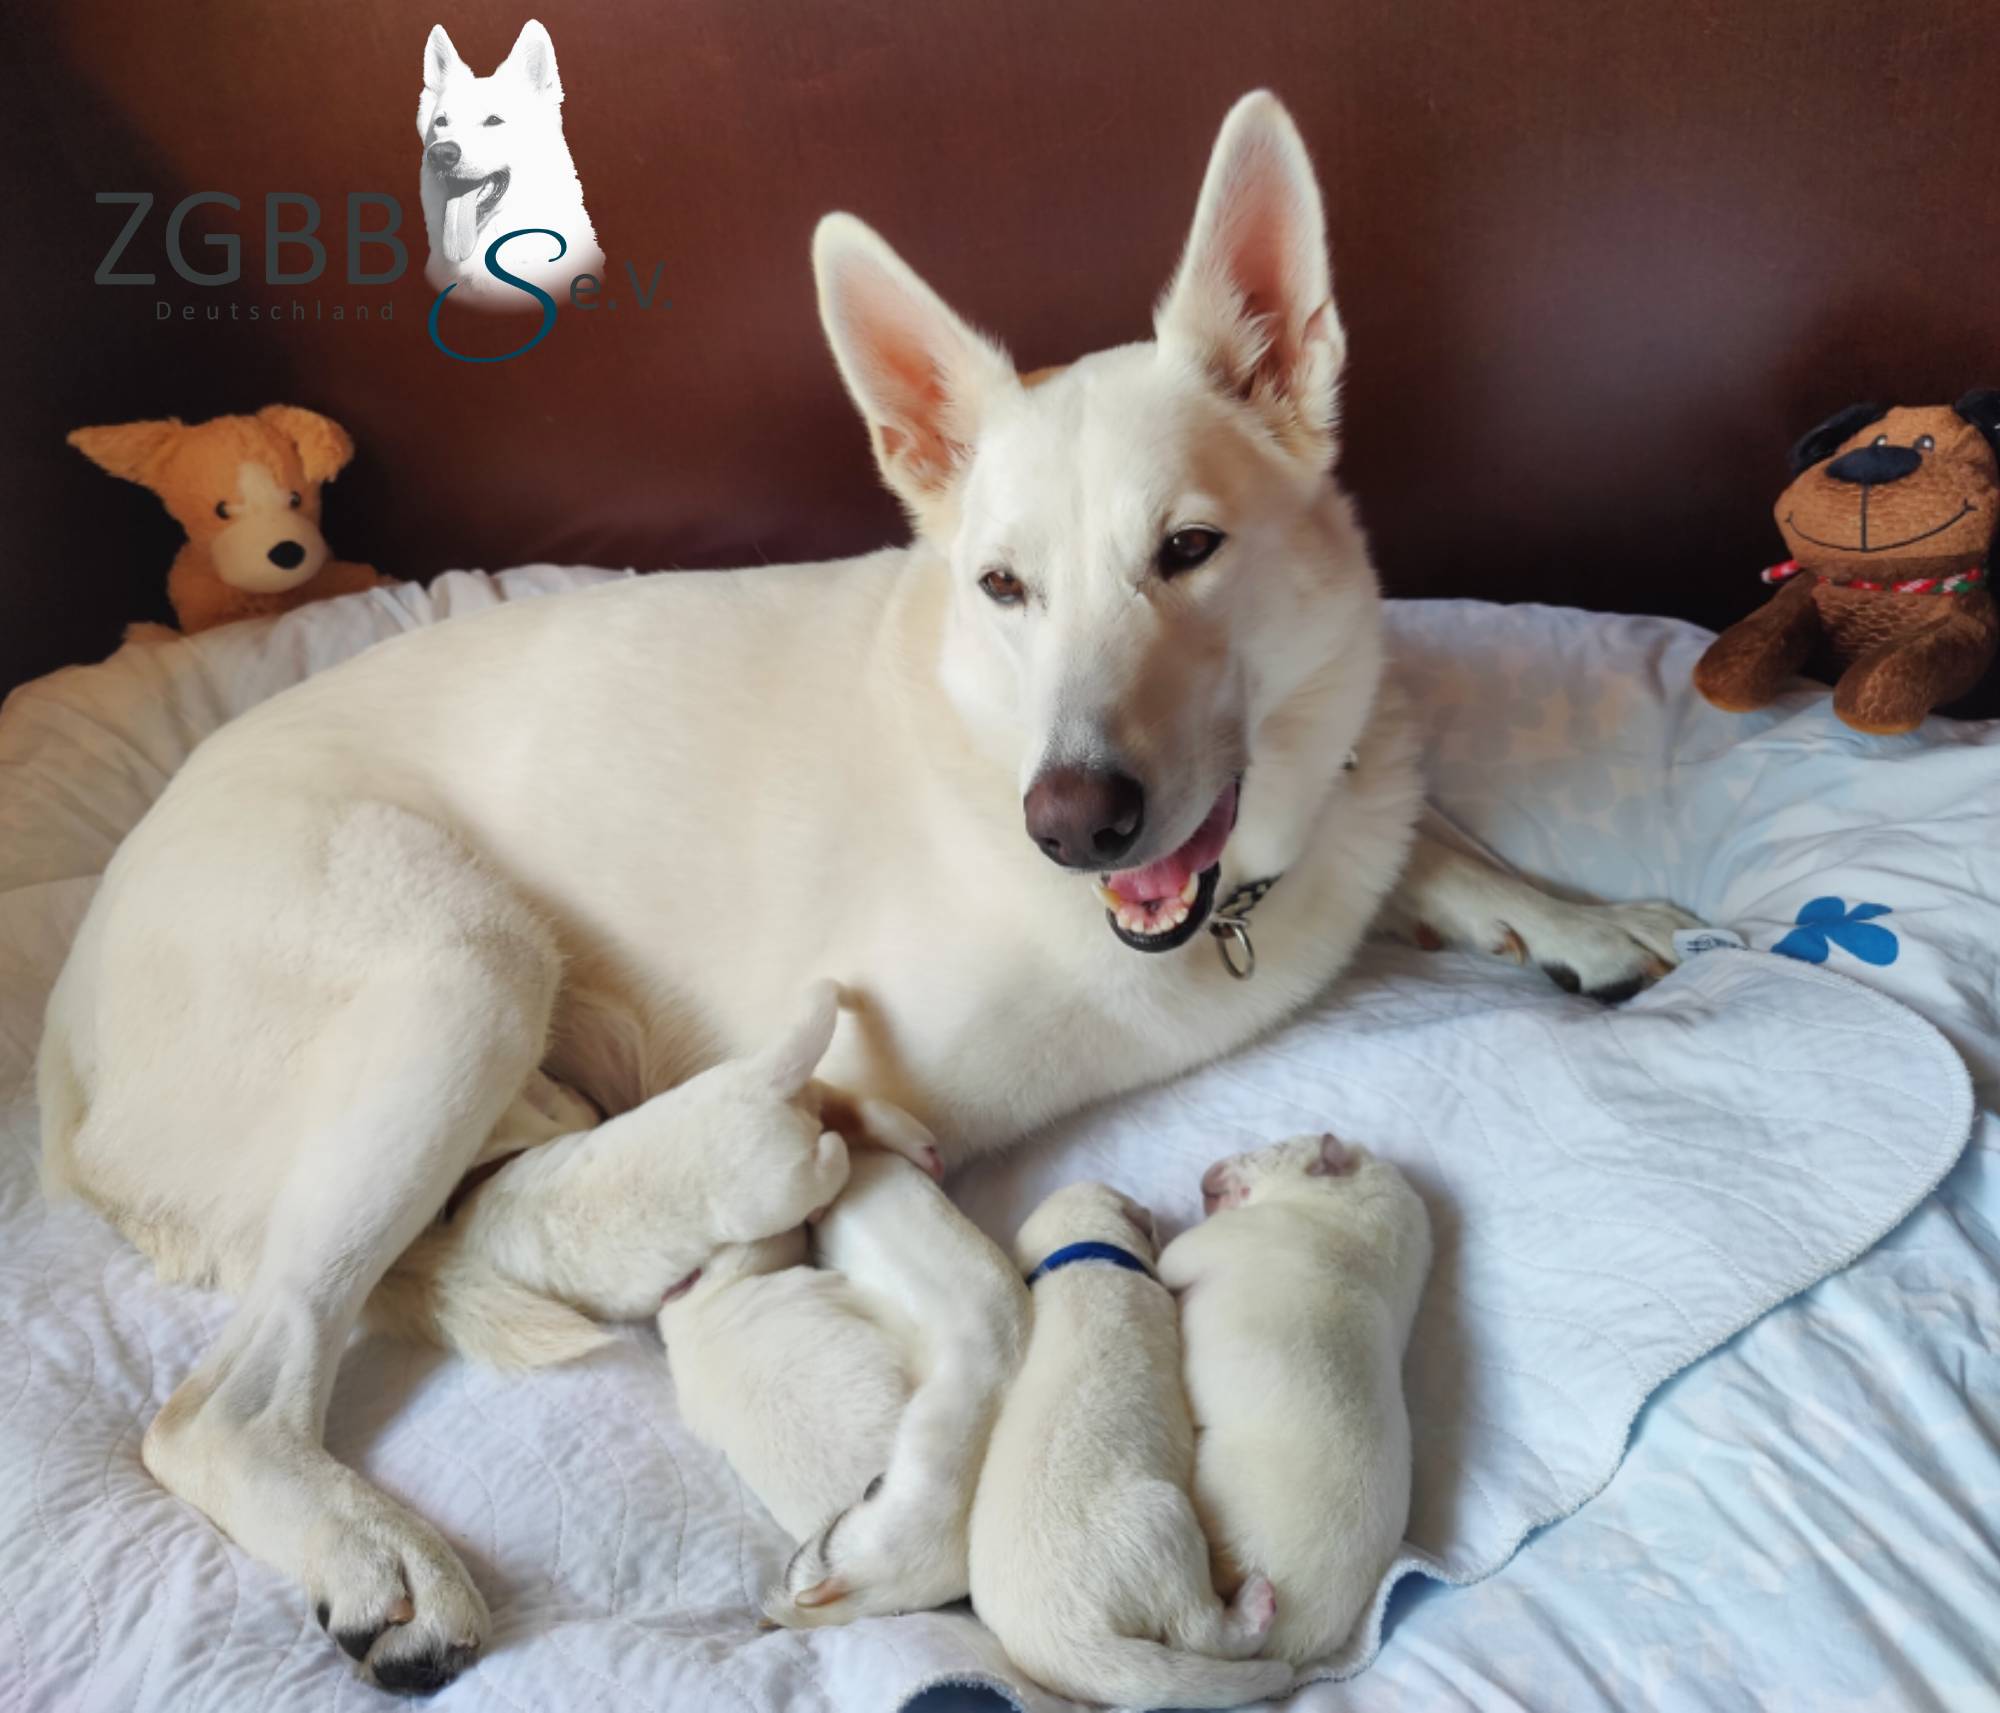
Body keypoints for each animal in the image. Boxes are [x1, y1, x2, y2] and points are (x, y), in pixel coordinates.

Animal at [967, 1182, 1292, 1708]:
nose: (1159, 1217)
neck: (1083, 1259)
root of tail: (1066, 1640)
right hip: (1163, 1527)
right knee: (1197, 1628)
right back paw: (1253, 1608)